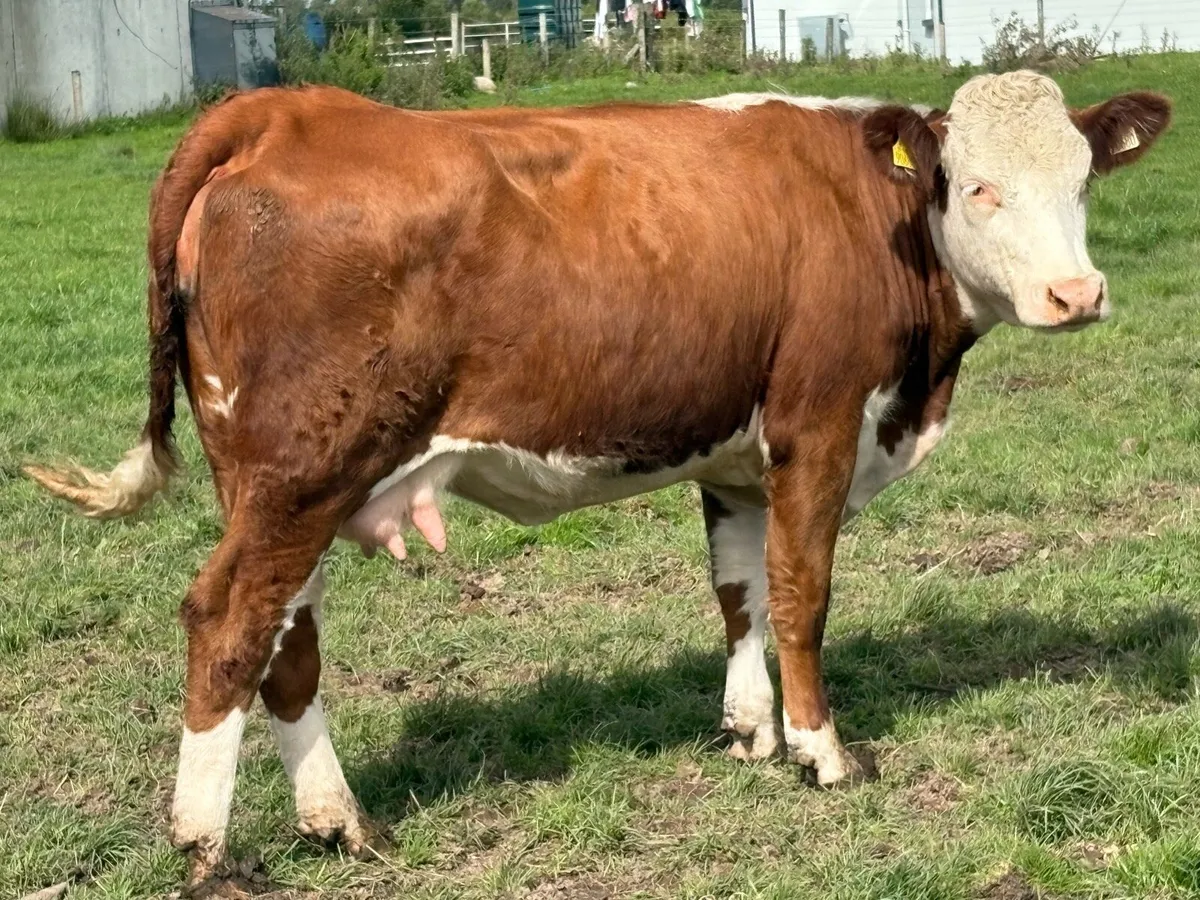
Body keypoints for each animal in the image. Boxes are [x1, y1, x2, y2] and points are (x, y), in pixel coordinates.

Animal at [26, 71, 1170, 885]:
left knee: (285, 637)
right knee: (227, 625)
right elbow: (802, 594)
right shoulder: (818, 425)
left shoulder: (734, 453)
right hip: (300, 475)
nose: (1077, 295)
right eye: (977, 186)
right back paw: (208, 849)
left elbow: (738, 593)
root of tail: (283, 110)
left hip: (278, 484)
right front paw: (822, 751)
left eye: (1080, 182)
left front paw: (750, 731)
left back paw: (339, 822)